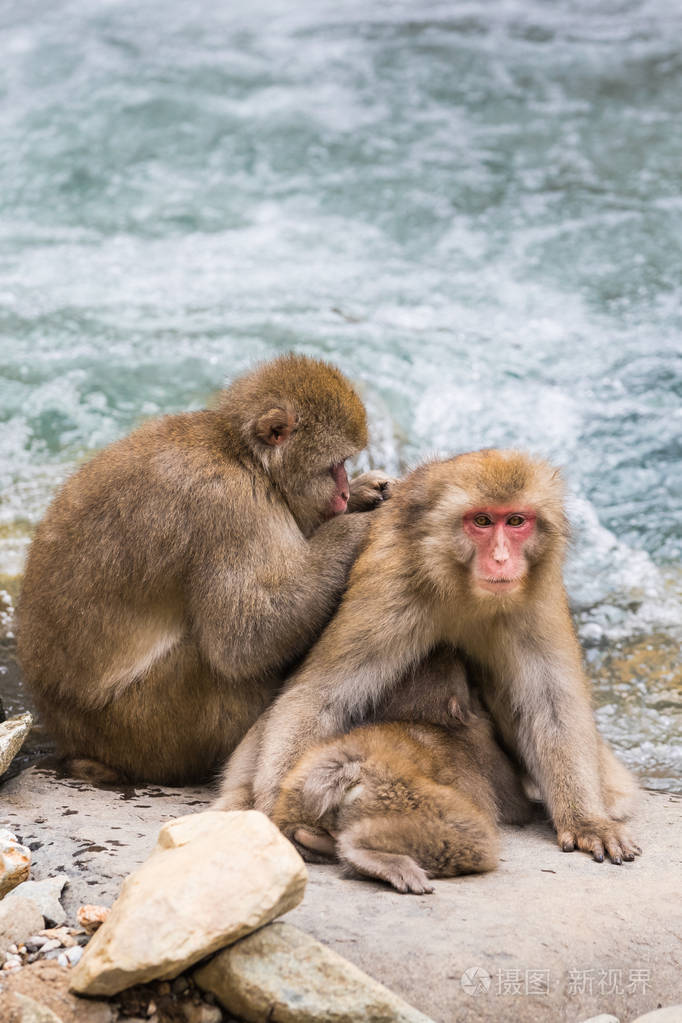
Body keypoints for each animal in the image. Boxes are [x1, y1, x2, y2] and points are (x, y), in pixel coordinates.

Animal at [18, 353, 392, 781]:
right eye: (336, 465)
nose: (344, 492)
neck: (243, 457)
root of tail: (68, 734)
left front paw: (363, 495)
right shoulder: (228, 508)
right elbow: (244, 638)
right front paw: (351, 529)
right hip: (144, 726)